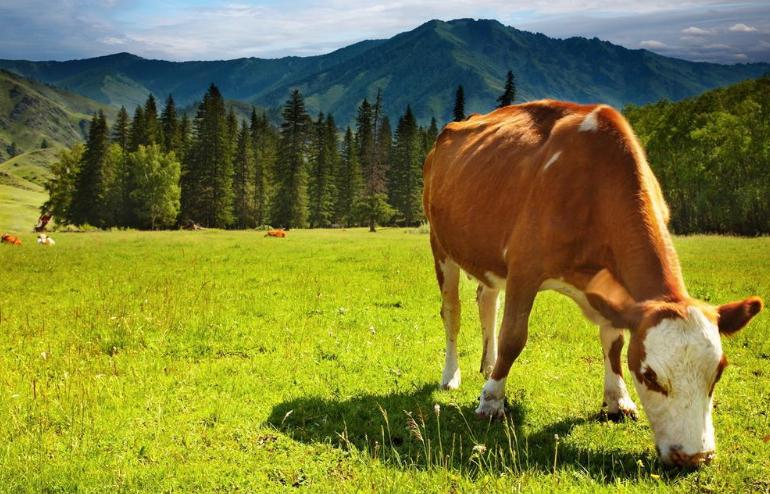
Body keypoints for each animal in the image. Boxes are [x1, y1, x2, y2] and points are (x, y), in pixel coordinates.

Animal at [420, 99, 760, 466]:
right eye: (650, 375)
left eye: (719, 371)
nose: (696, 456)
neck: (594, 190)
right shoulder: (524, 267)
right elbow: (513, 337)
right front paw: (491, 401)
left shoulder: (616, 291)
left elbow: (614, 342)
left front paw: (618, 400)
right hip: (441, 245)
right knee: (452, 313)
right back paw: (451, 376)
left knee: (487, 300)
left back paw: (487, 364)